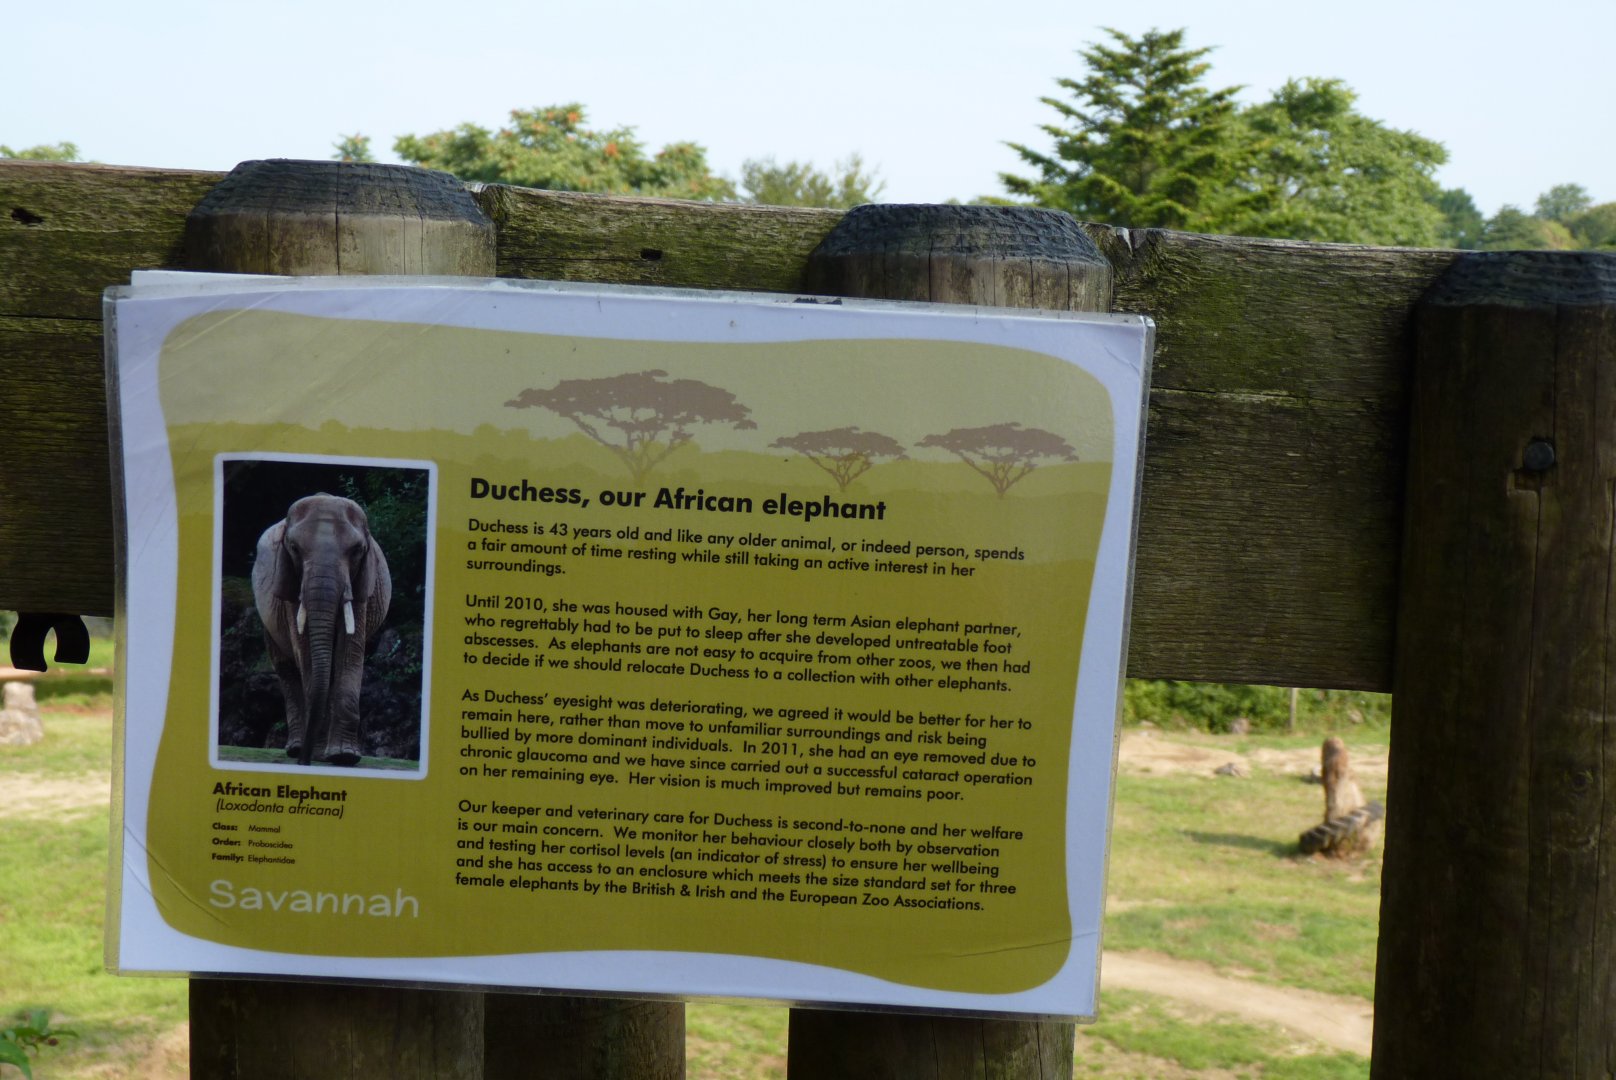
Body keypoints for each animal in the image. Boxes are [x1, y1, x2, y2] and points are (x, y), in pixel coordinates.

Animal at [252, 493, 392, 766]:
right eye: (294, 548)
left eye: (357, 550)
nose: (304, 762)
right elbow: (305, 652)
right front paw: (320, 754)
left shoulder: (359, 586)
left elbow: (349, 652)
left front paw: (344, 756)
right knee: (287, 669)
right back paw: (297, 749)